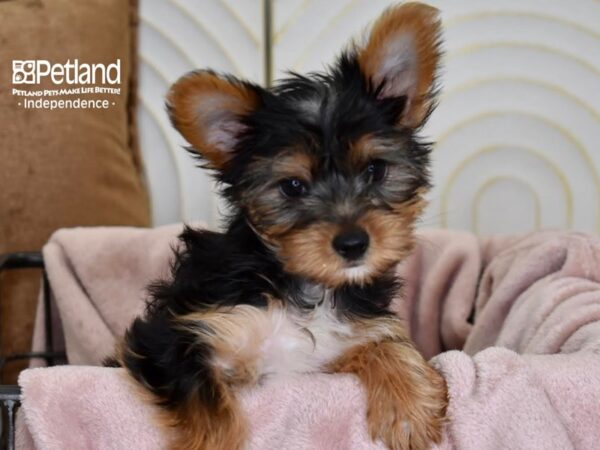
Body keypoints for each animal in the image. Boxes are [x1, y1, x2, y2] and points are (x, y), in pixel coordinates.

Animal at [109, 3, 446, 450]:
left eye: (375, 169)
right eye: (292, 186)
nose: (353, 243)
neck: (305, 287)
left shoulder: (337, 349)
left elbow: (384, 343)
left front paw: (408, 408)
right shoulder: (173, 333)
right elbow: (203, 395)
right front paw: (214, 441)